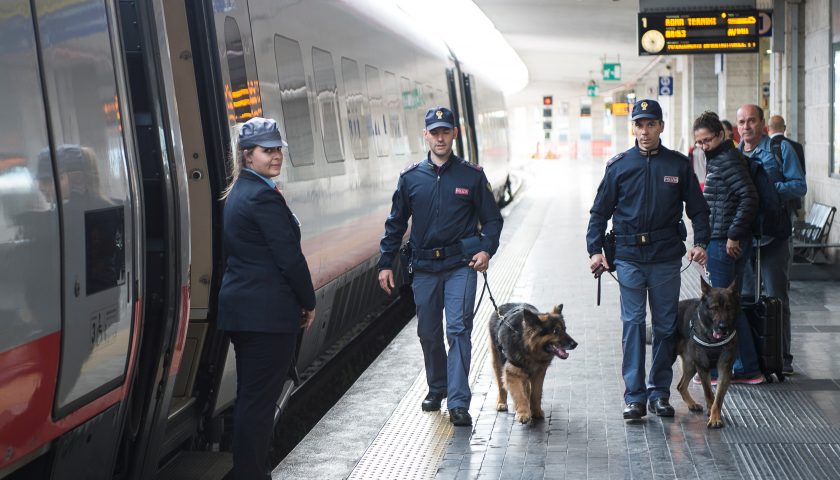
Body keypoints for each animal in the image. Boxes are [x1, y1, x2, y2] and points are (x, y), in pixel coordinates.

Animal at [676, 278, 740, 428]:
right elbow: (709, 393)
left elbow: (718, 398)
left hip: (691, 366)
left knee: (681, 386)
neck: (712, 339)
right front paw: (711, 411)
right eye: (714, 308)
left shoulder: (724, 369)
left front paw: (715, 416)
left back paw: (692, 404)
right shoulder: (703, 368)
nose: (723, 327)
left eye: (729, 308)